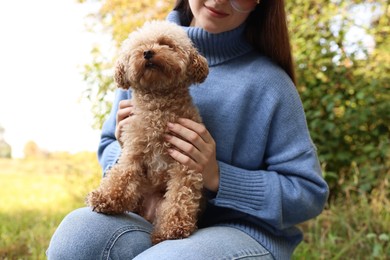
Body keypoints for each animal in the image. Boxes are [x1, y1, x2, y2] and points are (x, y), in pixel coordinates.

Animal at [86, 20, 209, 244]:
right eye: (139, 46)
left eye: (166, 43)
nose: (148, 52)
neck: (158, 109)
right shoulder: (133, 151)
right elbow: (121, 175)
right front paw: (105, 198)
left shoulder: (185, 163)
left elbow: (180, 195)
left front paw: (174, 228)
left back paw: (160, 234)